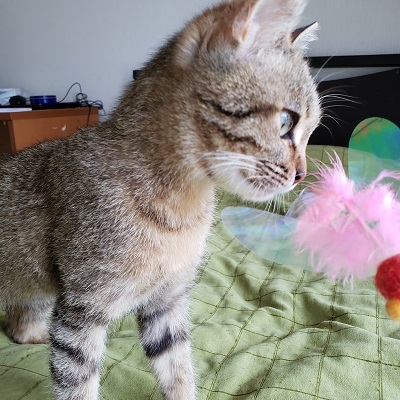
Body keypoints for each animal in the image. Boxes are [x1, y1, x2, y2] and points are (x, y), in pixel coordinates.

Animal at [0, 0, 320, 399]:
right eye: (286, 123)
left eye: (311, 131)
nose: (301, 174)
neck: (181, 208)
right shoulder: (83, 308)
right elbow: (77, 382)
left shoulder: (166, 302)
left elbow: (177, 366)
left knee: (18, 322)